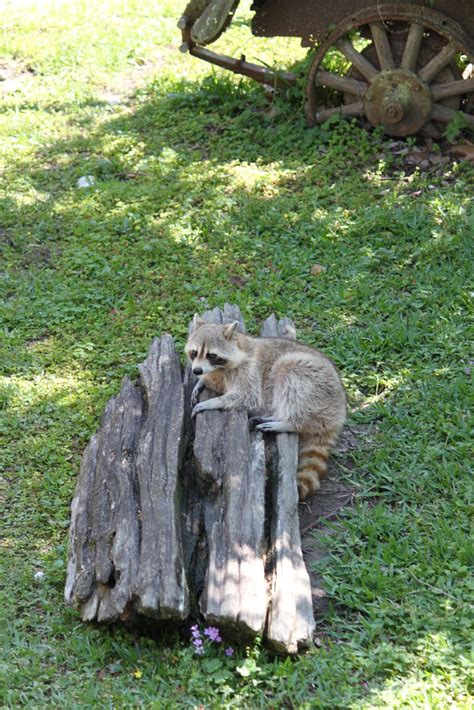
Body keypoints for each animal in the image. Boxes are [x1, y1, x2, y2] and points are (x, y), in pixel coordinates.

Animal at [187, 318, 346, 500]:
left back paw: (287, 422)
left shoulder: (248, 371)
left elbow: (249, 397)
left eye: (211, 355)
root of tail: (340, 413)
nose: (196, 370)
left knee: (288, 374)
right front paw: (202, 380)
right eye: (194, 352)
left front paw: (212, 401)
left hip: (317, 388)